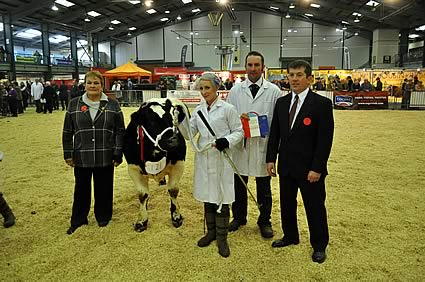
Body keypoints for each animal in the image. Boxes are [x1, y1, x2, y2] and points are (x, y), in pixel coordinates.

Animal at [122, 98, 189, 232]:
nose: (174, 140)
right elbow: (143, 195)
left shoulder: (179, 164)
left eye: (173, 120)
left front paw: (176, 217)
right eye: (152, 121)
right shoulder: (133, 169)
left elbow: (173, 190)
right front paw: (141, 221)